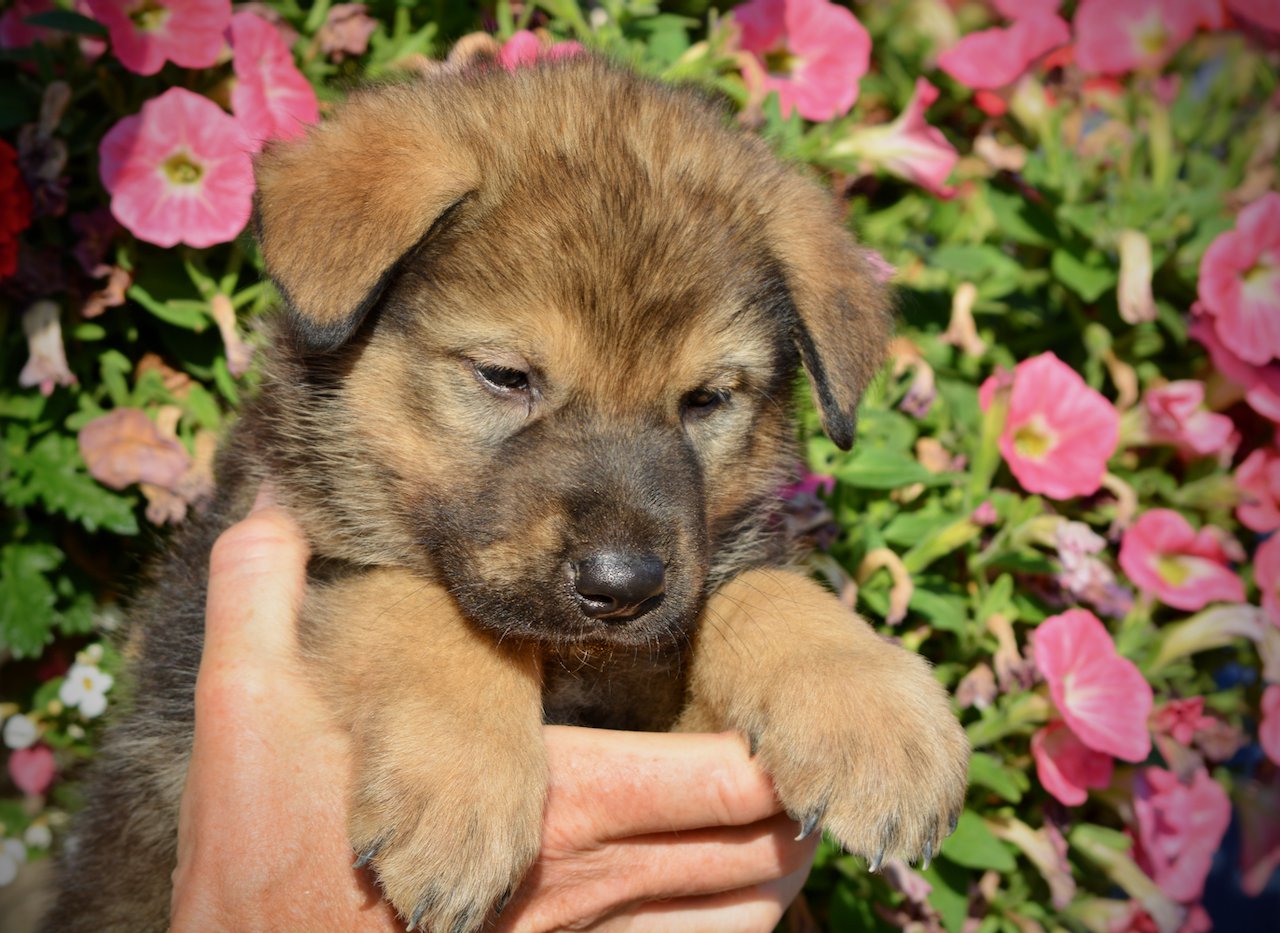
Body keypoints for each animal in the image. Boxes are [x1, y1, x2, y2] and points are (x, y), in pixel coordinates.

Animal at [42, 58, 967, 931]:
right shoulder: (284, 559)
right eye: (505, 375)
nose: (622, 588)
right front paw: (462, 789)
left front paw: (872, 712)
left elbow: (759, 590)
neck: (573, 665)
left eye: (705, 400)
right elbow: (418, 605)